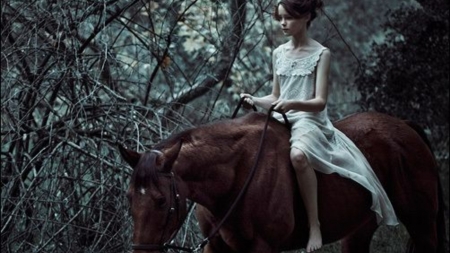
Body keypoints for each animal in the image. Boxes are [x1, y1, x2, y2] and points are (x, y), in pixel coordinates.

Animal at [119, 111, 446, 252]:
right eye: (130, 198)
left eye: (161, 200)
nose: (140, 252)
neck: (235, 176)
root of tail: (405, 126)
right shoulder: (217, 248)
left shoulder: (263, 248)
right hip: (359, 230)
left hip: (421, 222)